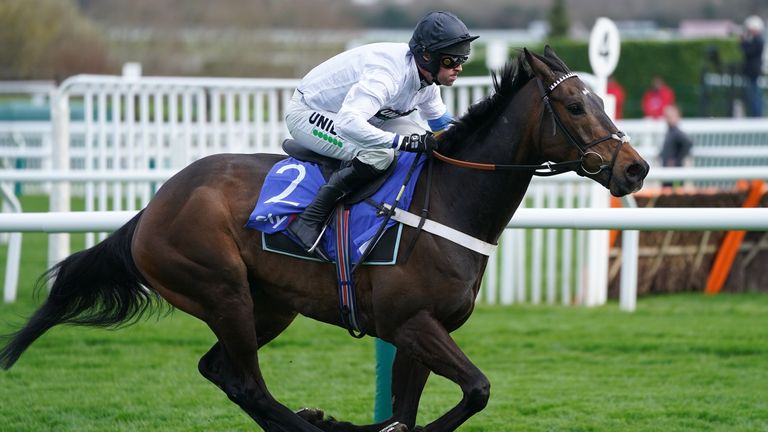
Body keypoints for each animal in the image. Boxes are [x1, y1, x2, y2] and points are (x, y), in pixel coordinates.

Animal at [0, 47, 648, 432]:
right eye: (575, 105)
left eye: (599, 100)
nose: (636, 169)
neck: (448, 202)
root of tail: (153, 206)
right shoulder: (411, 323)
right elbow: (476, 391)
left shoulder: (420, 329)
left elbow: (416, 410)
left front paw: (382, 424)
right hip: (221, 290)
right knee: (249, 384)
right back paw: (312, 425)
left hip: (268, 304)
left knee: (222, 372)